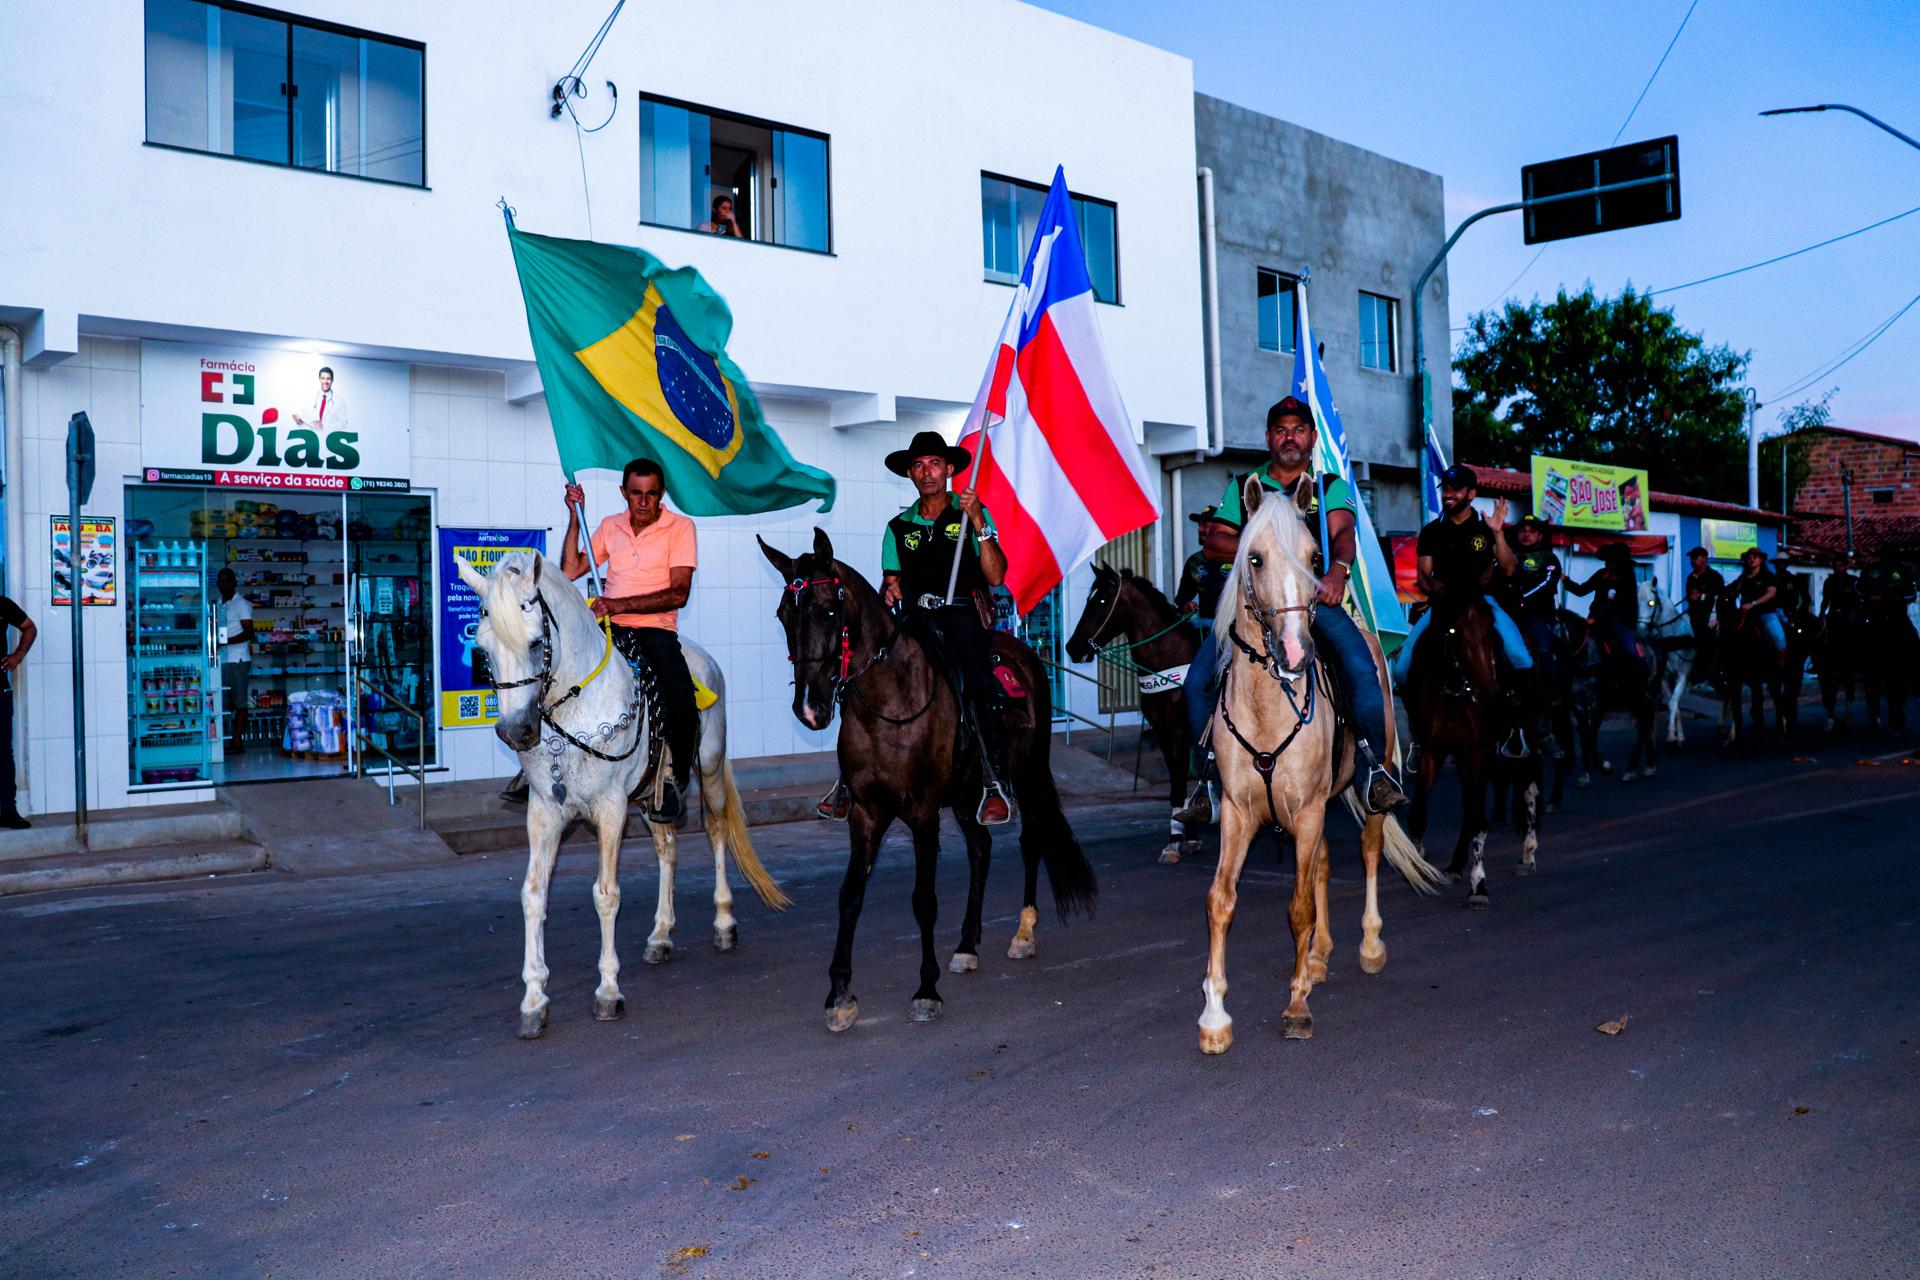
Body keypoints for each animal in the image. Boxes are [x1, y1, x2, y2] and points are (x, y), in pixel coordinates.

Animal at [453, 551, 787, 1040]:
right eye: (482, 650)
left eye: (536, 643)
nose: (516, 732)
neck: (574, 708)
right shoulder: (544, 811)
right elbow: (533, 894)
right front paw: (534, 1001)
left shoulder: (610, 810)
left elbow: (606, 894)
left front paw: (608, 991)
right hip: (651, 796)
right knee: (667, 848)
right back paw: (661, 936)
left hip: (708, 765)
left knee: (716, 831)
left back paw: (724, 922)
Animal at [758, 530, 1097, 1032]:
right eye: (783, 614)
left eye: (829, 610)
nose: (809, 709)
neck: (888, 703)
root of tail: (1025, 654)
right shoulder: (866, 812)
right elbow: (849, 896)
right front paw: (839, 995)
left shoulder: (921, 812)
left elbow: (923, 899)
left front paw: (926, 990)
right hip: (966, 793)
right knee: (981, 848)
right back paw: (967, 946)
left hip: (1027, 773)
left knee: (1030, 839)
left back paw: (1023, 933)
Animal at [1064, 565, 1202, 864]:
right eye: (1089, 599)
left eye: (1101, 600)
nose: (1072, 647)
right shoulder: (1165, 733)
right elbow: (1180, 782)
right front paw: (1183, 835)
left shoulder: (1180, 731)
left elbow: (1179, 782)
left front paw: (1177, 840)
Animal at [1197, 478, 1444, 1053]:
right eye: (1255, 558)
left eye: (1315, 558)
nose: (1295, 652)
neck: (1269, 704)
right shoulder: (1240, 814)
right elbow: (1222, 899)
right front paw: (1215, 1016)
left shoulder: (1308, 810)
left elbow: (1299, 906)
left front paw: (1296, 1007)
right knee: (1324, 865)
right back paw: (1317, 957)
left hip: (1363, 789)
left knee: (1369, 850)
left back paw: (1368, 947)